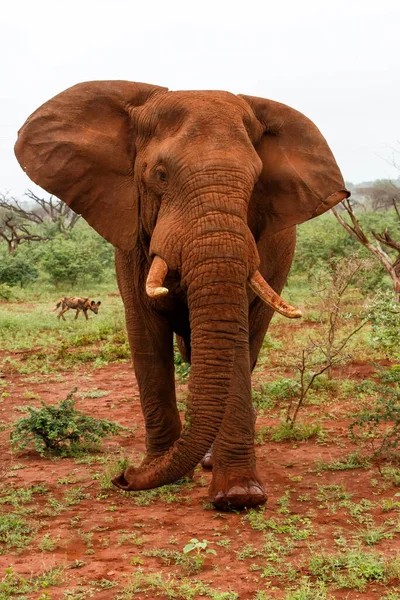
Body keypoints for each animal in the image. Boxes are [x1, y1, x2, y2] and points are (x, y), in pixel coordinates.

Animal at [14, 79, 348, 510]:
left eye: (256, 182)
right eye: (160, 175)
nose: (123, 476)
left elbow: (233, 335)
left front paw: (238, 497)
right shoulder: (130, 235)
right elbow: (145, 332)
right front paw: (162, 472)